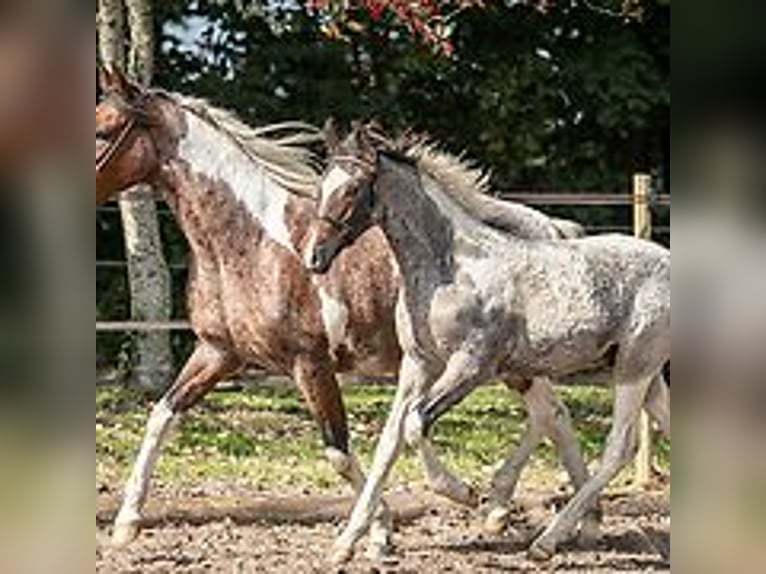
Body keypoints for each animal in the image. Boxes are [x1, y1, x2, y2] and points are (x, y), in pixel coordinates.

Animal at [306, 124, 672, 564]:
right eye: (321, 187)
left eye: (354, 188)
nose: (314, 257)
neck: (450, 267)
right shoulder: (418, 364)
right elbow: (390, 442)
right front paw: (347, 543)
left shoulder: (471, 366)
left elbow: (414, 425)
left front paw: (464, 493)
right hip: (648, 375)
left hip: (635, 367)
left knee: (619, 446)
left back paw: (545, 541)